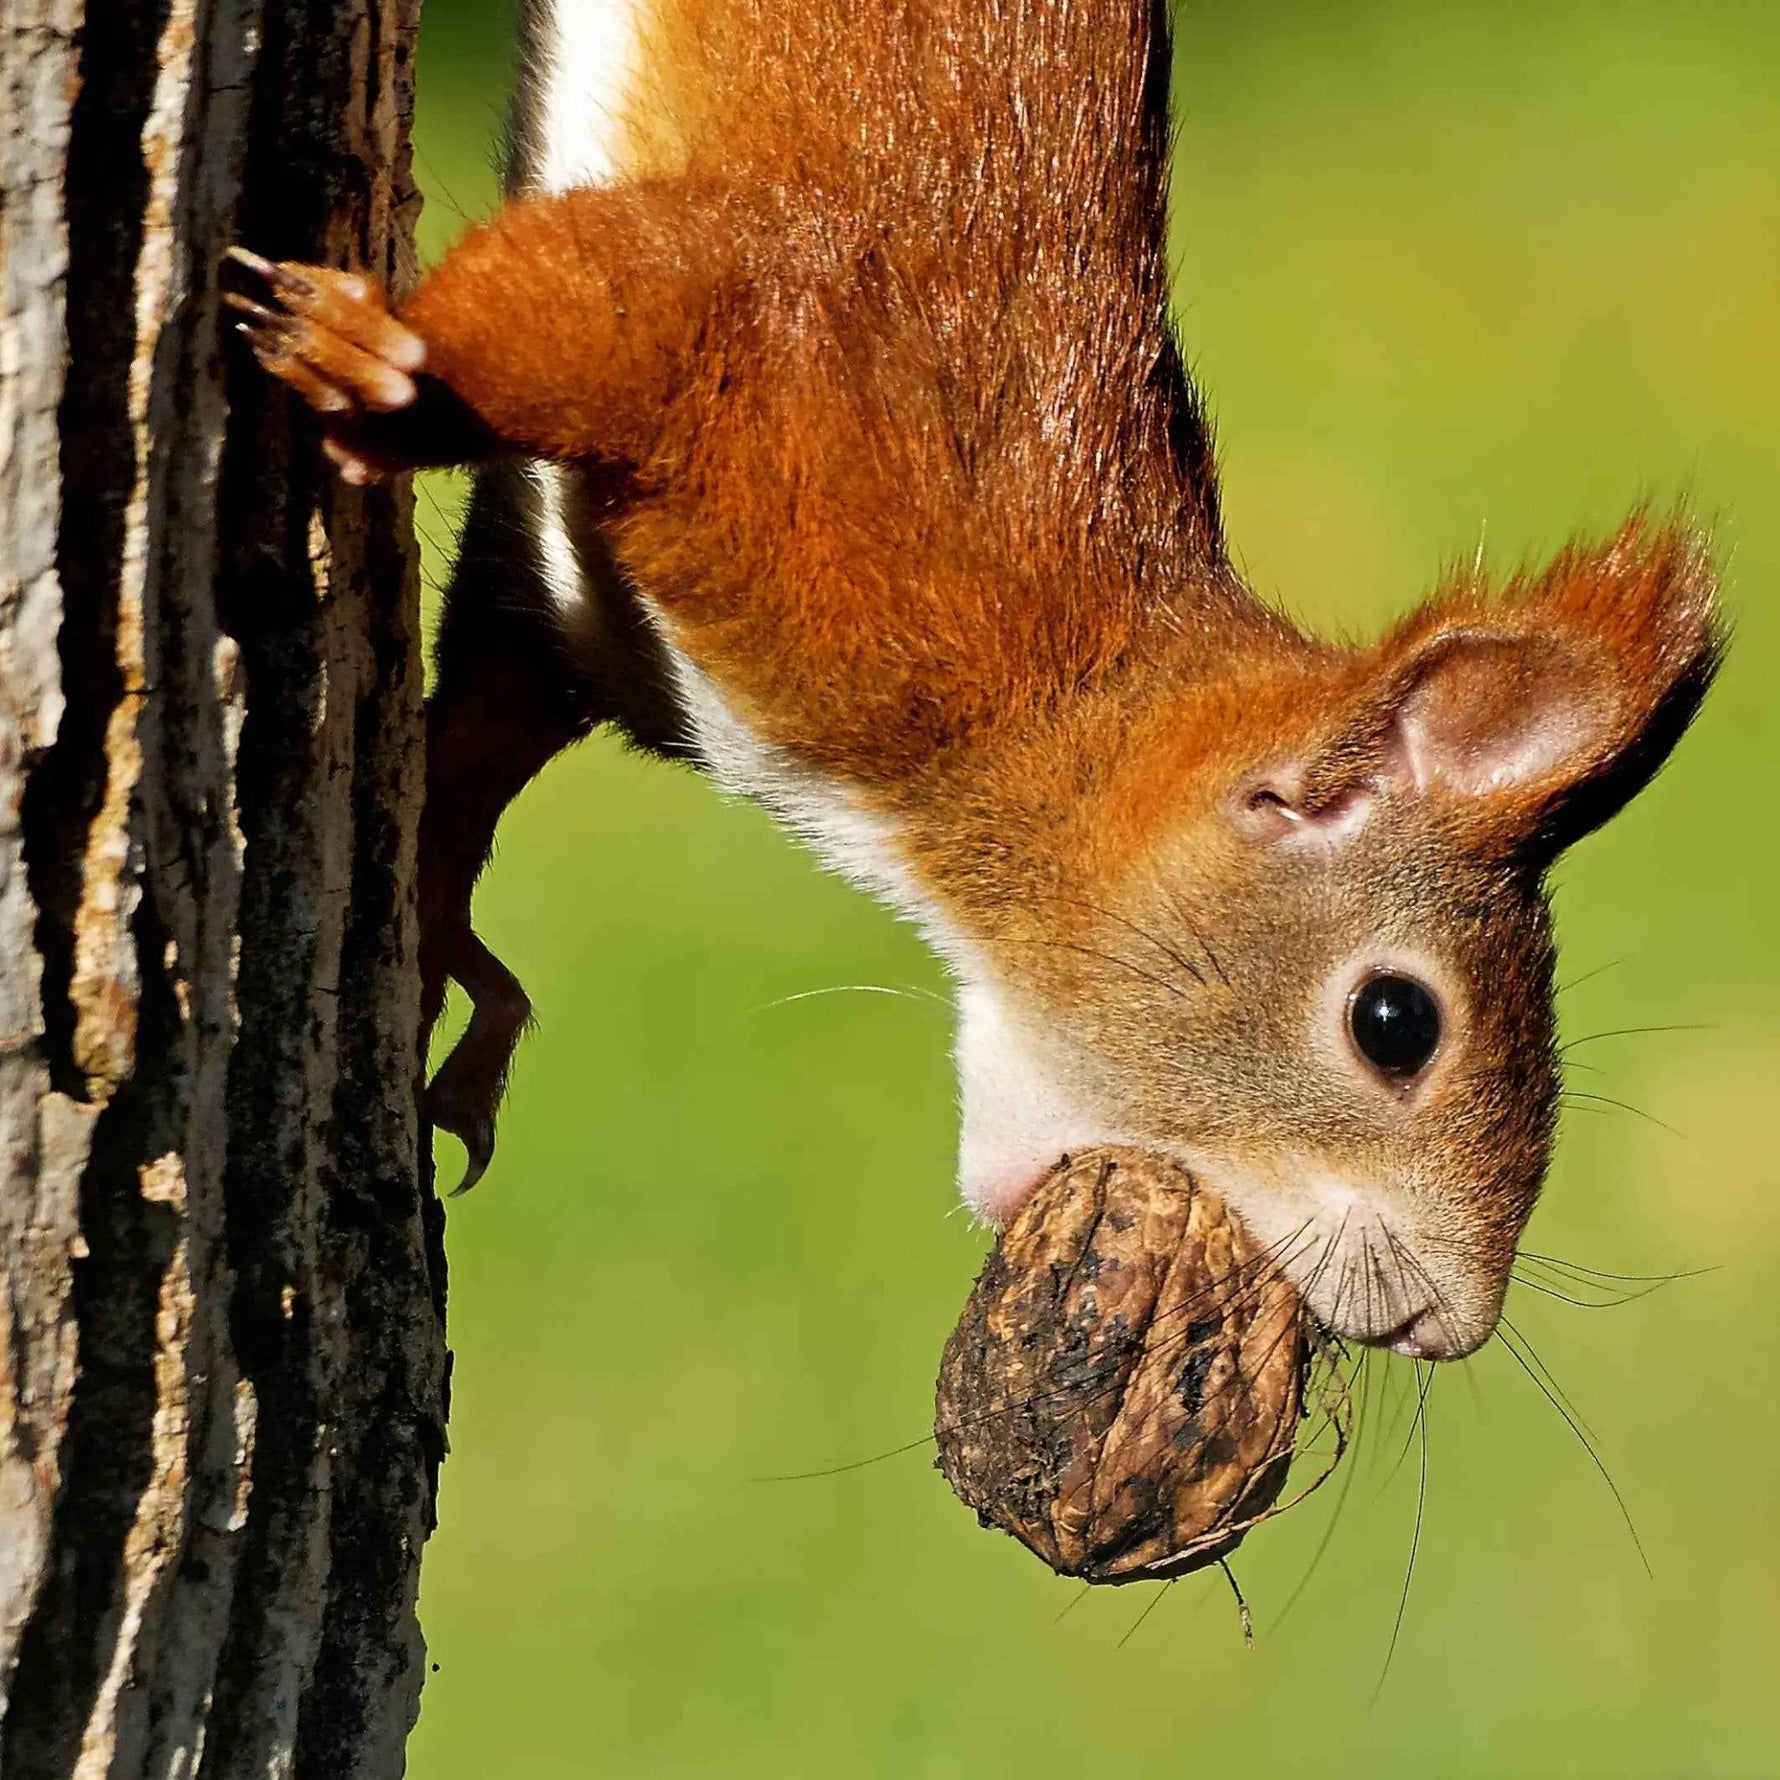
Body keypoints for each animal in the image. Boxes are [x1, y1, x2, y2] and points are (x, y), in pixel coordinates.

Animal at [226, 0, 1720, 1361]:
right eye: (1395, 1023)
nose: (1442, 1328)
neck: (1053, 698)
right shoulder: (788, 377)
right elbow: (597, 292)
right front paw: (379, 370)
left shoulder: (586, 623)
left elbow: (483, 731)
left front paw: (435, 935)